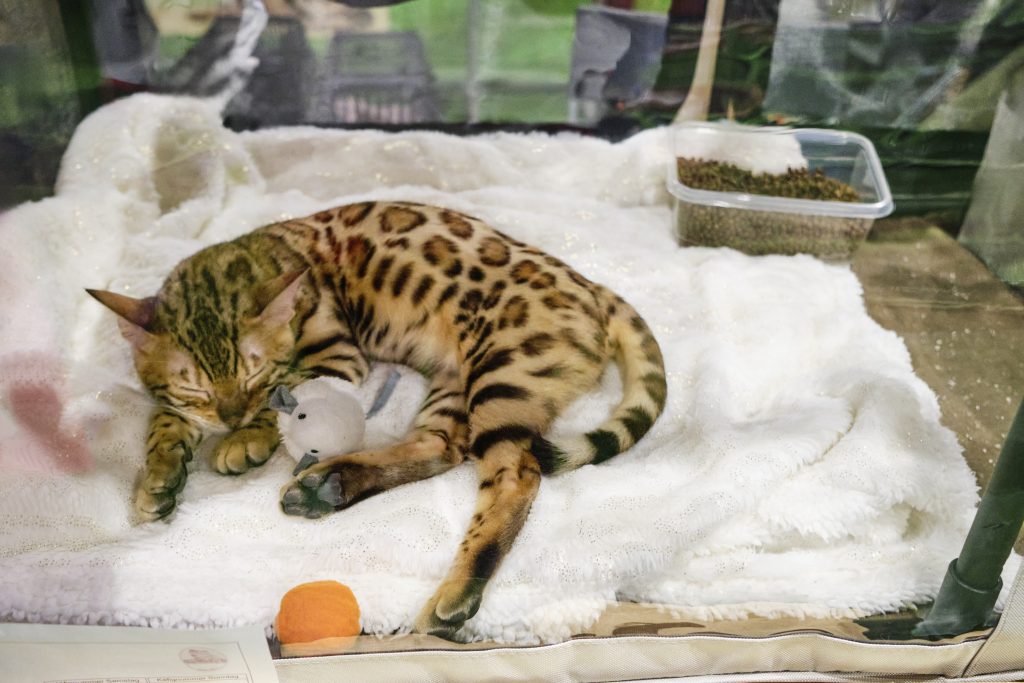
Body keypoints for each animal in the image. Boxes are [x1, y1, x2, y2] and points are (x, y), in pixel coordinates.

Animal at [88, 201, 667, 638]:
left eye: (255, 376)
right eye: (196, 388)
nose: (231, 418)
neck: (265, 253)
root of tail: (591, 286)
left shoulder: (336, 355)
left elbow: (285, 402)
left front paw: (246, 439)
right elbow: (163, 420)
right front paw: (159, 479)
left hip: (502, 374)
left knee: (517, 474)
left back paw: (457, 591)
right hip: (457, 382)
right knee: (440, 448)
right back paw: (328, 485)